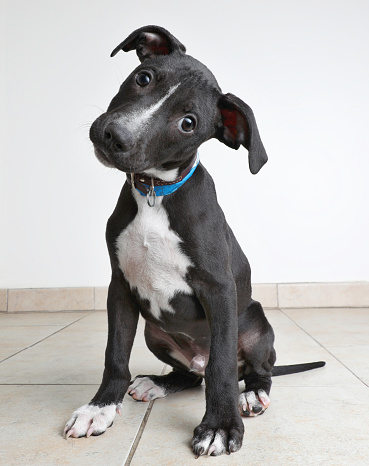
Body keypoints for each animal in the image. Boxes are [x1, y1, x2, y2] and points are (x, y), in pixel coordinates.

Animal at [64, 24, 324, 456]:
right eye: (144, 78)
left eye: (188, 122)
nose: (115, 135)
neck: (155, 193)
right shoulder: (120, 286)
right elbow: (115, 354)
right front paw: (100, 408)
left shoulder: (218, 290)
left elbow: (222, 367)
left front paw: (219, 426)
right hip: (155, 333)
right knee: (190, 375)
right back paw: (158, 382)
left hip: (256, 323)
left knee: (253, 369)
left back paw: (251, 395)